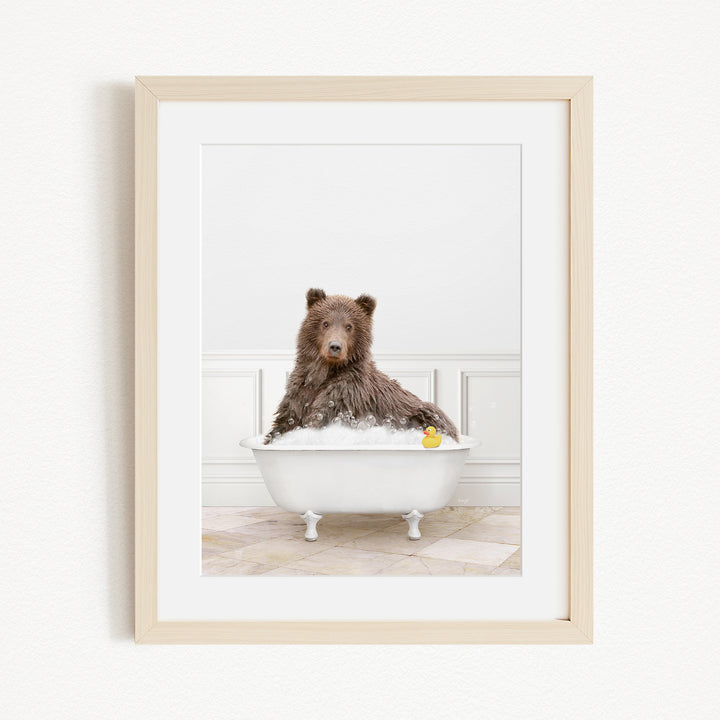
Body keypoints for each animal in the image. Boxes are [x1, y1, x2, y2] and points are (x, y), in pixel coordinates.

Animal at [264, 288, 459, 443]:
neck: (324, 373)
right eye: (325, 323)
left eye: (349, 326)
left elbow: (323, 416)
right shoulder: (299, 393)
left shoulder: (346, 395)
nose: (335, 346)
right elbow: (284, 422)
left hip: (423, 413)